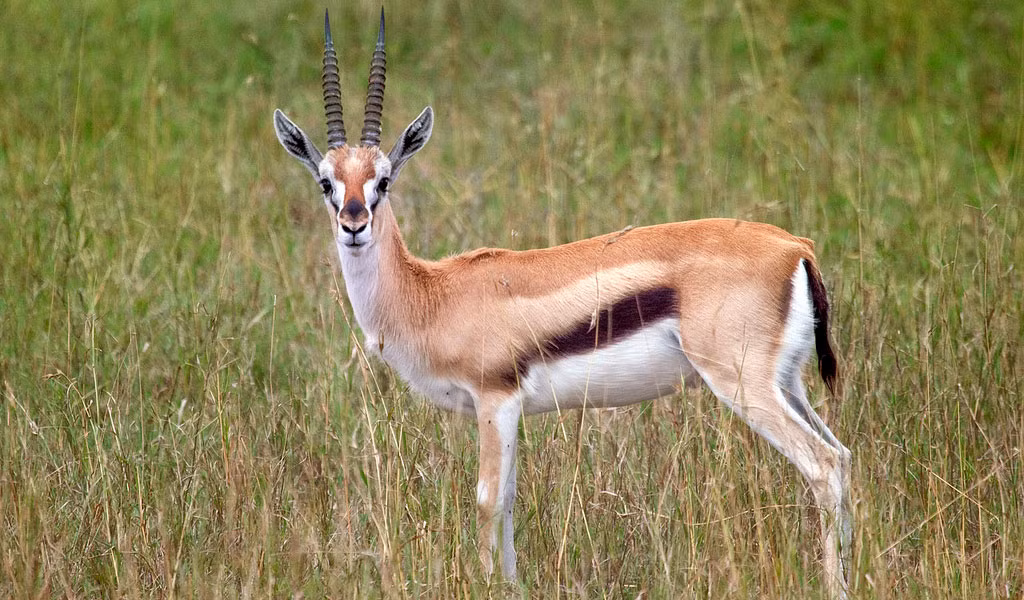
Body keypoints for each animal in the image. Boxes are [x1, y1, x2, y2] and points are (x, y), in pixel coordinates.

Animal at [273, 9, 853, 598]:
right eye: (326, 182)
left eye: (384, 180)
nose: (354, 225)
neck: (431, 294)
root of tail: (794, 247)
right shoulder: (508, 412)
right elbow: (508, 503)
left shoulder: (495, 400)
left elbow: (487, 502)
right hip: (787, 383)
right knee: (844, 456)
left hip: (742, 383)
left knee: (824, 464)